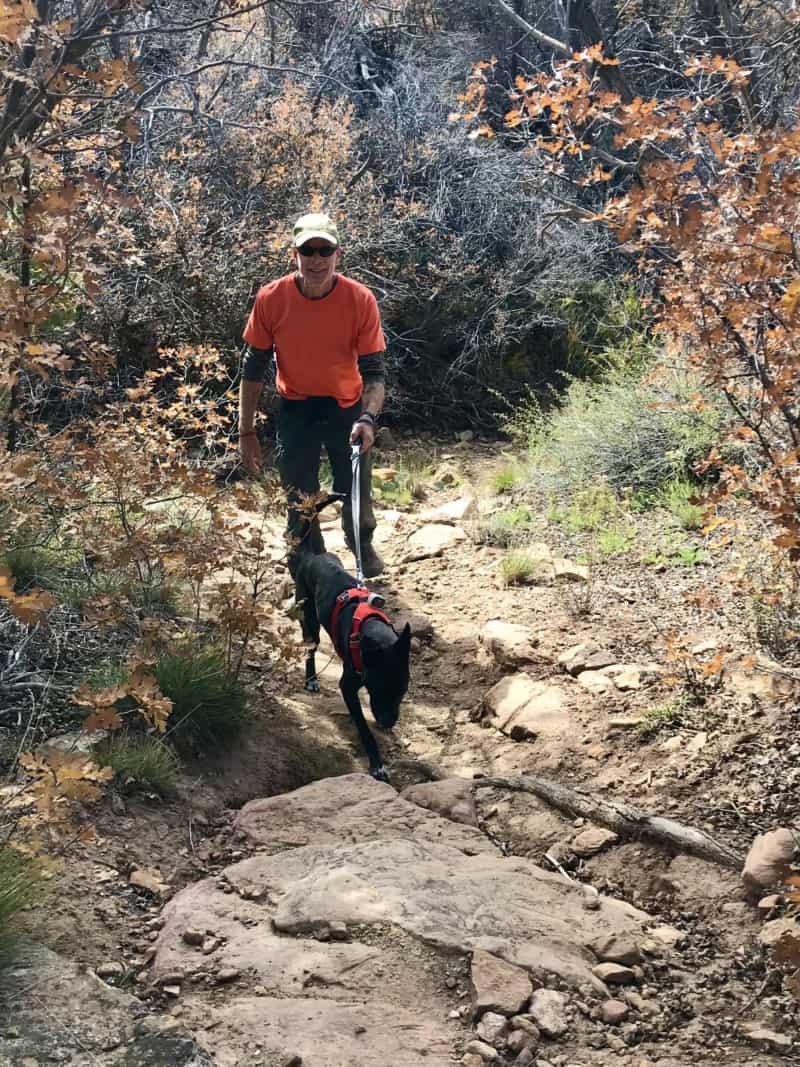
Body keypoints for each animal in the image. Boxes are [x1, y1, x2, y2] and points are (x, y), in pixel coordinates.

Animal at [292, 499, 409, 785]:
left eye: (402, 690)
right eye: (377, 688)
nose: (388, 723)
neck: (373, 630)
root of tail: (312, 556)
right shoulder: (348, 687)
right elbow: (364, 729)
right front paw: (377, 764)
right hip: (309, 619)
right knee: (310, 647)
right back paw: (311, 680)